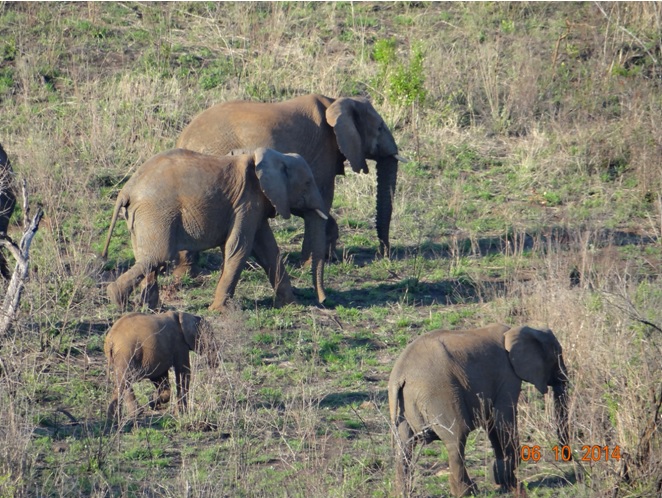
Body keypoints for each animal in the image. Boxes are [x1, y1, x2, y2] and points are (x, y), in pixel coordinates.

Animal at [101, 147, 330, 312]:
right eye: (307, 183)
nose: (323, 300)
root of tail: (126, 190)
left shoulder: (254, 204)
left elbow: (268, 250)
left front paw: (291, 305)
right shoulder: (246, 202)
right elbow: (239, 248)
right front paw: (220, 311)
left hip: (140, 218)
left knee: (147, 257)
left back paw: (150, 309)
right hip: (156, 213)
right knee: (158, 256)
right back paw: (117, 299)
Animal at [176, 94, 404, 264]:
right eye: (380, 128)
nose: (385, 255)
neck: (336, 101)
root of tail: (183, 137)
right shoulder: (324, 149)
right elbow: (324, 199)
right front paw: (314, 261)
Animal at [390, 324, 572, 496]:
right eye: (557, 357)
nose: (565, 457)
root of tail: (400, 375)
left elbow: (492, 424)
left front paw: (502, 479)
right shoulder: (507, 376)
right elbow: (503, 419)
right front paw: (509, 479)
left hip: (403, 407)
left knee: (404, 447)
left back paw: (402, 493)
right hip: (439, 395)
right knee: (456, 438)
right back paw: (468, 492)